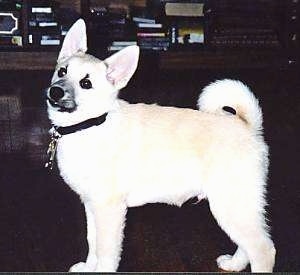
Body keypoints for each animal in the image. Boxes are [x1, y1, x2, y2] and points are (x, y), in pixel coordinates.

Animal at [45, 20, 276, 274]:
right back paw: (234, 264)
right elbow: (92, 241)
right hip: (236, 207)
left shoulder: (109, 209)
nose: (55, 91)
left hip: (231, 205)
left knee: (263, 250)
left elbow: (106, 252)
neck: (91, 124)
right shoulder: (91, 204)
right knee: (248, 245)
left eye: (86, 84)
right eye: (62, 71)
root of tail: (248, 127)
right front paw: (89, 266)